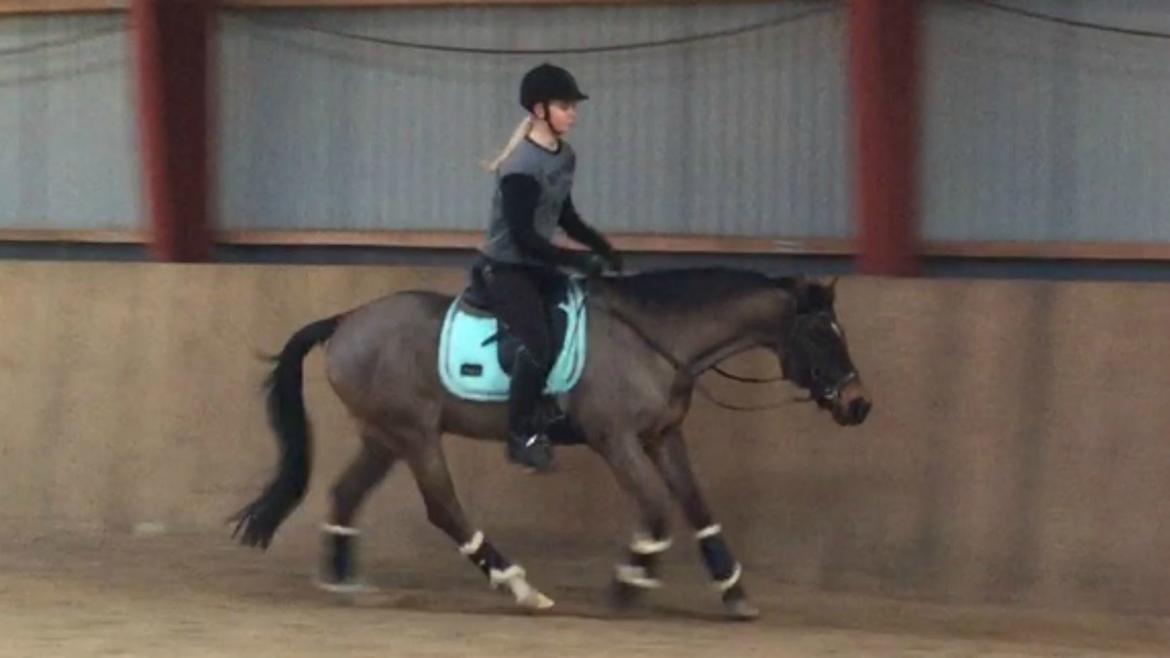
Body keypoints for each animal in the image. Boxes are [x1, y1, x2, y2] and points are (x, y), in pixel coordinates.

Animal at [230, 263, 870, 618]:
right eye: (821, 333)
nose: (859, 405)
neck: (655, 337)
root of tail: (346, 321)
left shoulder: (663, 436)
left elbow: (697, 507)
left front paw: (734, 591)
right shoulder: (616, 439)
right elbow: (656, 508)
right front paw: (629, 583)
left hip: (383, 435)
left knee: (345, 495)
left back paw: (343, 581)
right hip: (414, 433)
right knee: (443, 509)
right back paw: (520, 587)